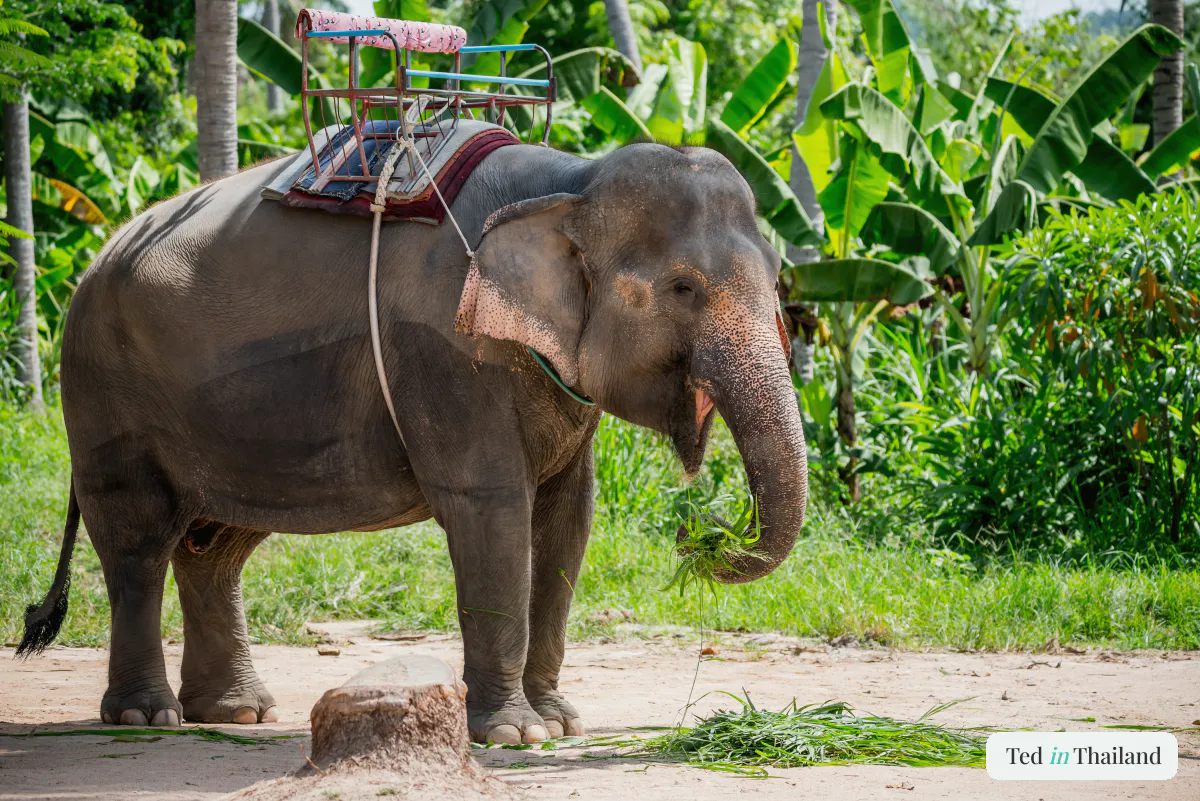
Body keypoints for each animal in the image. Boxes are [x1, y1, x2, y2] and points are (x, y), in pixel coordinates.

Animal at [18, 141, 808, 744]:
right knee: (138, 546)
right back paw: (146, 718)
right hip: (103, 391)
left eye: (778, 278)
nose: (700, 532)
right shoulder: (445, 353)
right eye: (682, 287)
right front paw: (514, 734)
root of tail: (96, 256)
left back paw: (236, 713)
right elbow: (492, 509)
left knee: (216, 546)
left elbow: (566, 522)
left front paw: (560, 722)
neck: (570, 180)